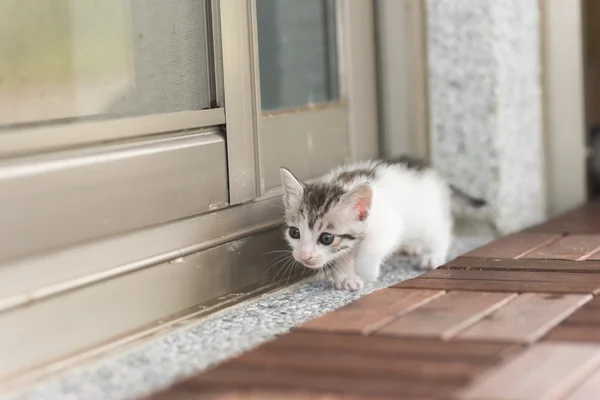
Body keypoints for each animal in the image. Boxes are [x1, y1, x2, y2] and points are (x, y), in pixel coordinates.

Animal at [278, 158, 486, 292]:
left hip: (429, 215)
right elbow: (344, 255)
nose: (304, 256)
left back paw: (433, 256)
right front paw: (346, 277)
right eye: (294, 233)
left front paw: (366, 272)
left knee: (440, 232)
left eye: (326, 238)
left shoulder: (388, 225)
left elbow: (372, 249)